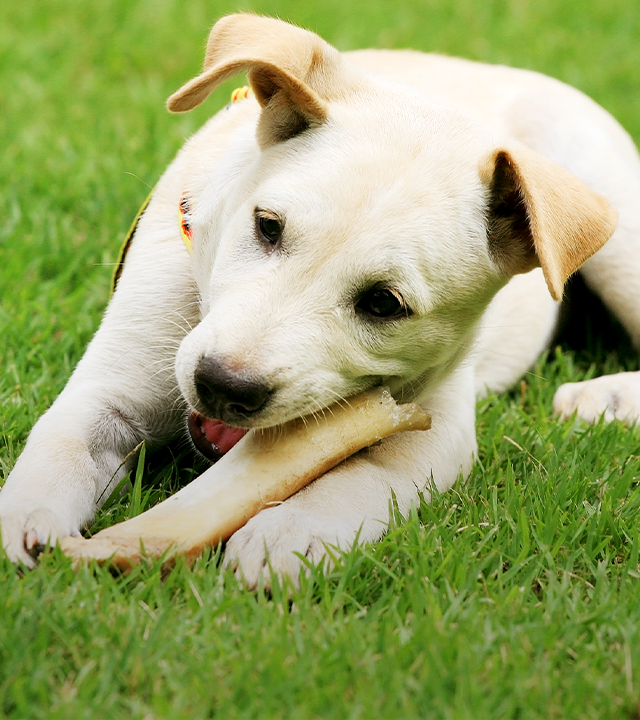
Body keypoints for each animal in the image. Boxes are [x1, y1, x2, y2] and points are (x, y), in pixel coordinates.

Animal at [1, 15, 640, 592]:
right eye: (267, 226)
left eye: (384, 303)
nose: (222, 387)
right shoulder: (114, 387)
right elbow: (61, 444)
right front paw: (28, 518)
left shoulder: (437, 426)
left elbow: (361, 475)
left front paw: (293, 532)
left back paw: (605, 397)